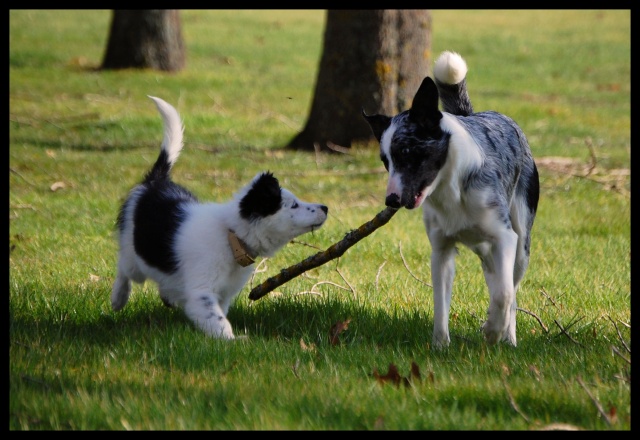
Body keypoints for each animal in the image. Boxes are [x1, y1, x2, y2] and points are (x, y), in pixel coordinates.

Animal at [110, 97, 328, 340]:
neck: (231, 236)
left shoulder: (224, 294)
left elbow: (219, 315)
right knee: (124, 267)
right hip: (134, 257)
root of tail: (155, 181)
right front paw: (233, 341)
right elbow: (218, 320)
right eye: (294, 205)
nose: (325, 208)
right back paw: (118, 298)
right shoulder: (202, 292)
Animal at [362, 51, 536, 348]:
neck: (453, 191)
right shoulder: (441, 250)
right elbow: (441, 305)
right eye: (385, 161)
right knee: (494, 278)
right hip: (485, 249)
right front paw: (440, 346)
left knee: (510, 289)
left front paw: (493, 330)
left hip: (521, 243)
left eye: (407, 151)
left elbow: (505, 295)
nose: (391, 200)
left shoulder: (505, 237)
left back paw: (508, 338)